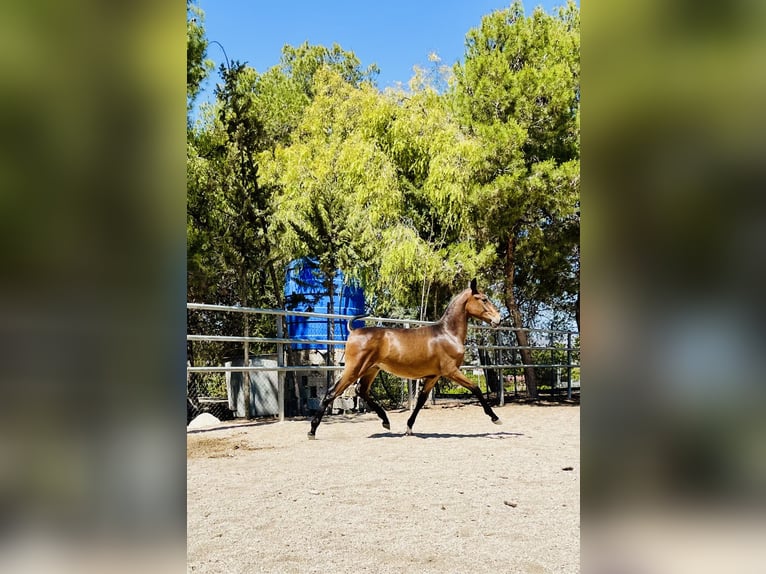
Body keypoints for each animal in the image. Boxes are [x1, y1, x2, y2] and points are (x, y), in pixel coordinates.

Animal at [308, 280, 508, 440]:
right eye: (483, 299)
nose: (498, 319)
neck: (447, 334)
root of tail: (354, 331)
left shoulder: (433, 376)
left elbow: (420, 401)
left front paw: (408, 428)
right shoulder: (451, 371)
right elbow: (476, 388)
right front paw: (495, 418)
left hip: (372, 369)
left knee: (361, 390)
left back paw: (386, 421)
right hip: (354, 369)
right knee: (332, 393)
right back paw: (312, 431)